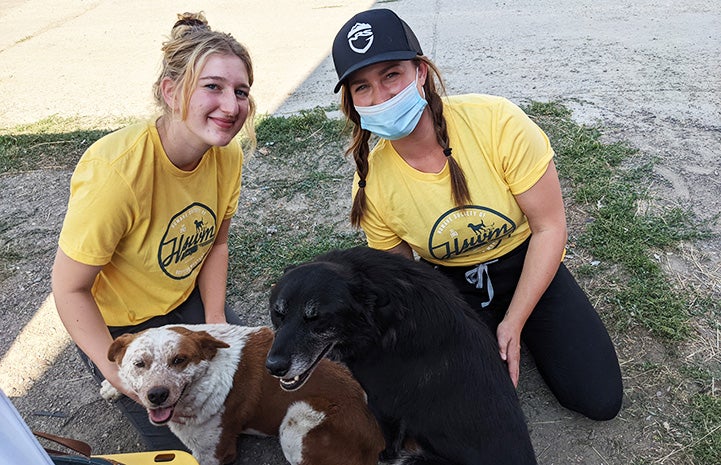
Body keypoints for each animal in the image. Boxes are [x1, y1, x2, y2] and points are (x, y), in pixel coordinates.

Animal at [102, 324, 382, 464]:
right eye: (140, 364)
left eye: (179, 360)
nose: (157, 394)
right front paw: (111, 384)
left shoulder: (213, 454)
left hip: (296, 419)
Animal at [264, 246, 536, 464]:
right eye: (278, 313)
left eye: (316, 318)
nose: (274, 367)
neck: (381, 319)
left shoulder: (382, 403)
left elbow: (391, 438)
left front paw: (386, 454)